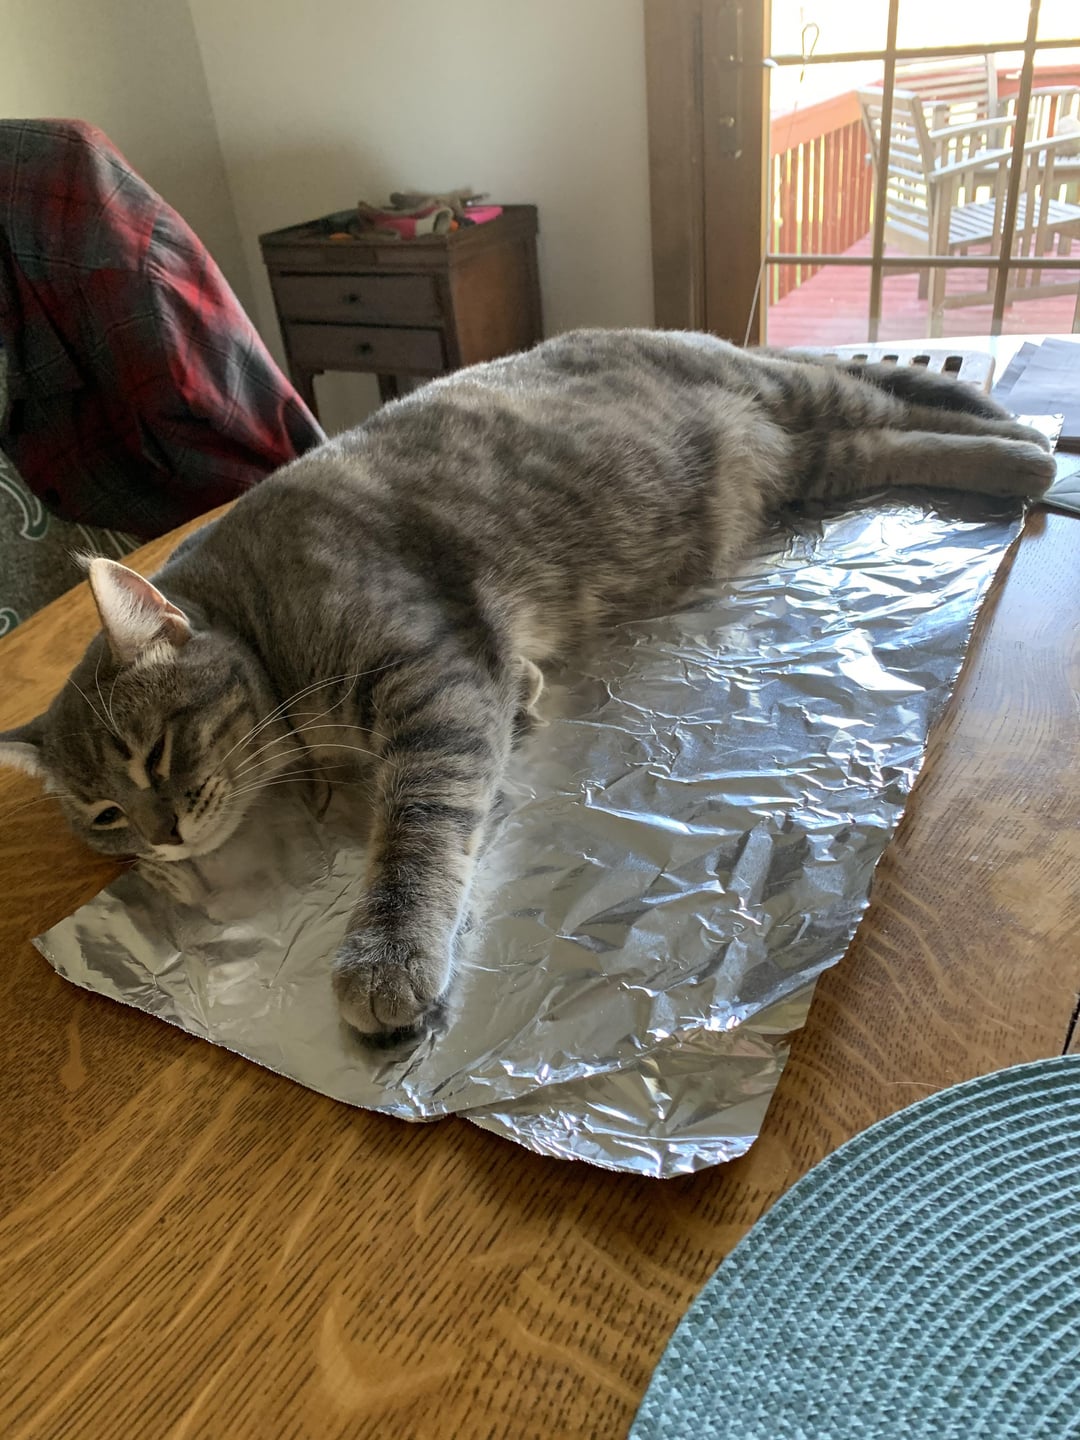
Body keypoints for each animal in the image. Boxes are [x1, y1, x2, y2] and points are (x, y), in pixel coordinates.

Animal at [0, 329, 1055, 1038]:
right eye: (101, 815)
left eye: (154, 751)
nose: (161, 835)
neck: (254, 615)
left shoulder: (434, 685)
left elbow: (418, 831)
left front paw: (386, 951)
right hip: (806, 456)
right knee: (890, 437)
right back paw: (1013, 451)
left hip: (796, 399)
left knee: (889, 396)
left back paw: (1024, 447)